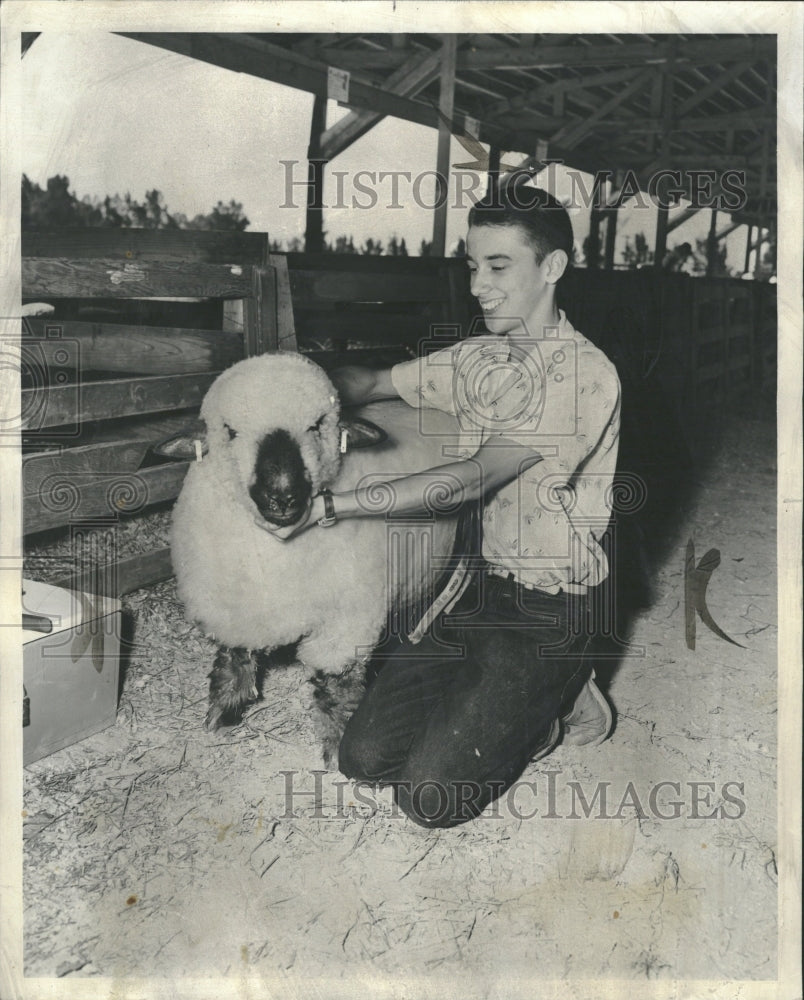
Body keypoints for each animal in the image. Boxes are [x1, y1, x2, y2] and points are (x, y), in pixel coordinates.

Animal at [172, 354, 462, 764]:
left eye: (316, 425)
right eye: (229, 431)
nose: (282, 496)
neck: (274, 556)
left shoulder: (347, 624)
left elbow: (336, 686)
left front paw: (336, 742)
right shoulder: (234, 612)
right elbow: (234, 658)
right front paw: (225, 708)